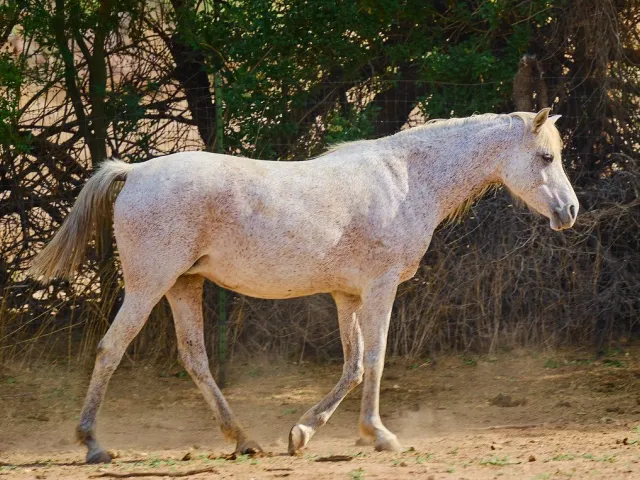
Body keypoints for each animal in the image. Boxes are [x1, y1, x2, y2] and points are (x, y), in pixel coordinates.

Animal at [29, 108, 578, 464]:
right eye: (546, 157)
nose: (570, 211)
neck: (406, 181)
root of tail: (135, 172)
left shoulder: (346, 295)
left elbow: (353, 366)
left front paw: (301, 434)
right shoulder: (379, 289)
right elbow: (376, 359)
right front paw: (379, 435)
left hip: (184, 285)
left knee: (195, 359)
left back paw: (244, 440)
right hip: (149, 286)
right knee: (111, 348)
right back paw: (93, 444)